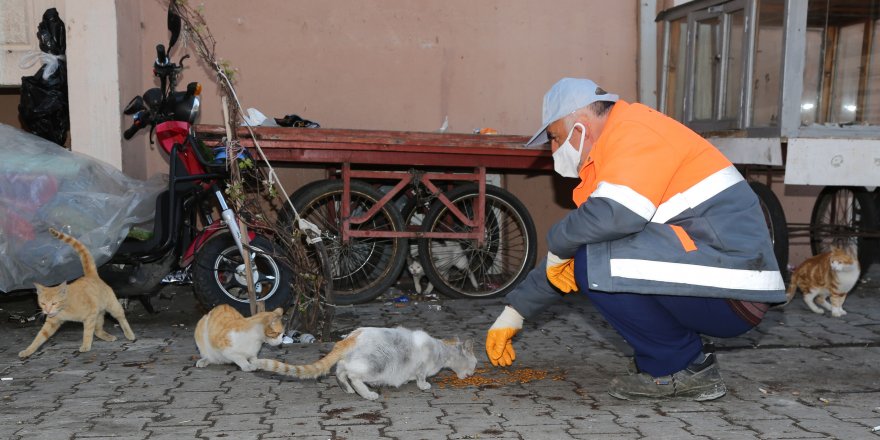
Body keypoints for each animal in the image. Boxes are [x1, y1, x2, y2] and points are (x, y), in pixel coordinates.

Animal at [19, 229, 137, 360]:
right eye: (43, 303)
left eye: (54, 303)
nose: (47, 311)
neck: (65, 307)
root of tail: (91, 275)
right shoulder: (52, 322)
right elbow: (39, 337)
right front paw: (28, 351)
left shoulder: (90, 316)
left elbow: (88, 332)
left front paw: (85, 346)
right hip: (99, 314)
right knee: (98, 330)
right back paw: (108, 336)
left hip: (112, 306)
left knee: (120, 318)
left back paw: (129, 334)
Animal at [251, 326, 478, 398]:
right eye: (475, 364)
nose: (474, 373)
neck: (442, 349)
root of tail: (349, 337)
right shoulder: (422, 367)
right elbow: (421, 377)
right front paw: (423, 385)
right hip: (375, 366)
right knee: (351, 375)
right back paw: (367, 394)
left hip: (353, 361)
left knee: (340, 370)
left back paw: (348, 389)